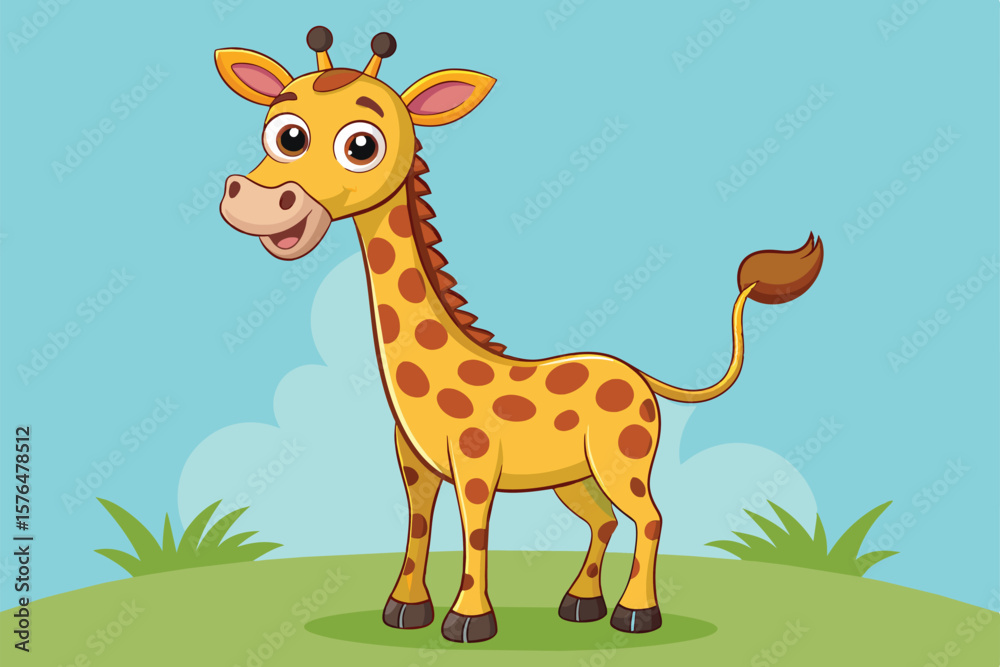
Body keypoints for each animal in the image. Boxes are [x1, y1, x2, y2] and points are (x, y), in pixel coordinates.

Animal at [215, 27, 824, 643]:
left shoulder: (476, 464)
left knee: (649, 517)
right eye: (284, 134)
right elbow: (417, 528)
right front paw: (405, 611)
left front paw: (468, 621)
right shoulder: (415, 466)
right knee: (605, 520)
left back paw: (634, 615)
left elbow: (475, 534)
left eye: (361, 146)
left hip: (622, 459)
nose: (252, 199)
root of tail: (640, 376)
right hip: (575, 476)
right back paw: (580, 604)